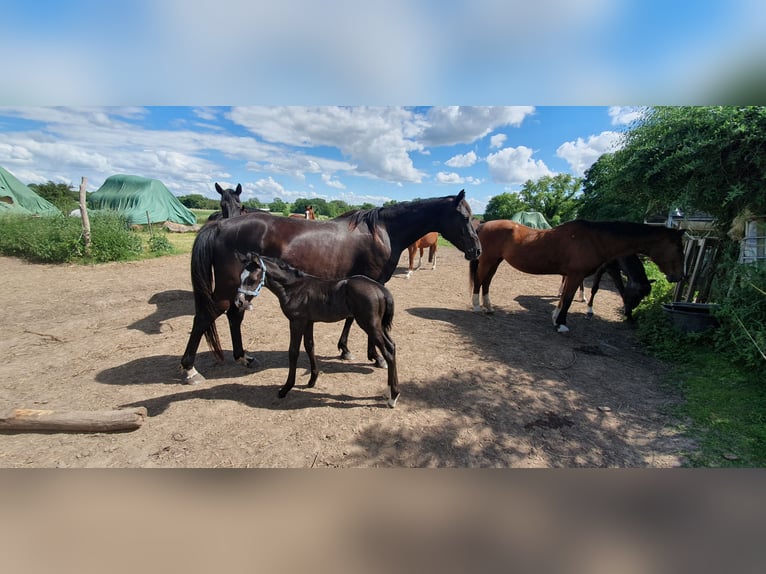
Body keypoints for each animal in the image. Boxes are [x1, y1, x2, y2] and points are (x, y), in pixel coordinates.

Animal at [180, 190, 481, 384]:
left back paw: (243, 358)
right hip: (229, 288)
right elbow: (360, 322)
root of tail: (221, 225)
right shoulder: (371, 282)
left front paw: (347, 350)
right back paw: (190, 370)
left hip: (242, 289)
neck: (382, 231)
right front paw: (376, 357)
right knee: (206, 316)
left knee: (234, 315)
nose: (477, 250)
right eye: (464, 217)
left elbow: (350, 318)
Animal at [235, 252, 400, 407]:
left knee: (388, 350)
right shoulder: (308, 322)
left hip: (370, 324)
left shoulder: (296, 322)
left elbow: (293, 352)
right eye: (240, 277)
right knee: (392, 346)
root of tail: (381, 289)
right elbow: (309, 346)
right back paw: (389, 391)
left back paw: (393, 396)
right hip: (379, 325)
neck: (294, 288)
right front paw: (312, 380)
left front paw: (285, 388)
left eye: (251, 280)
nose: (239, 302)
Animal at [469, 219, 685, 333]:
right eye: (678, 248)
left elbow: (564, 297)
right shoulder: (575, 275)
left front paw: (556, 318)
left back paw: (489, 307)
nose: (679, 276)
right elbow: (568, 299)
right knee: (479, 280)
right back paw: (477, 306)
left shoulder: (572, 275)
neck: (595, 240)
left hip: (496, 260)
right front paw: (562, 324)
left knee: (487, 281)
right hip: (488, 260)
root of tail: (482, 225)